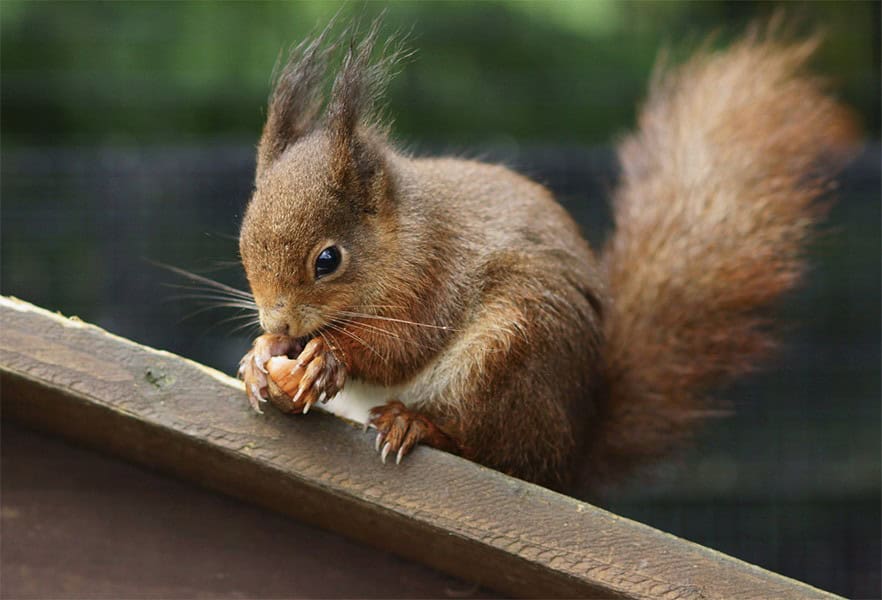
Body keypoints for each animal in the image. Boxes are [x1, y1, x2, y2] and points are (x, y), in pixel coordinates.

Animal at [235, 22, 852, 492]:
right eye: (243, 245)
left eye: (328, 260)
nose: (278, 322)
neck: (399, 234)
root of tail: (574, 449)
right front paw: (261, 356)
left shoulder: (431, 273)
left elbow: (399, 347)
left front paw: (326, 357)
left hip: (508, 352)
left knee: (490, 449)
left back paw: (416, 425)